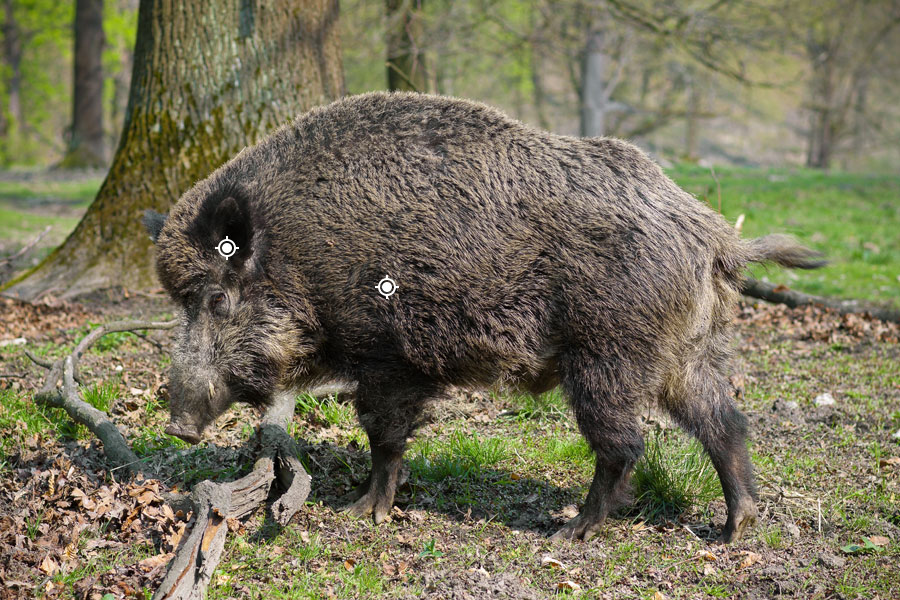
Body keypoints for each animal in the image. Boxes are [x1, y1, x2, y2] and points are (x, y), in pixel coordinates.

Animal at [144, 91, 823, 543]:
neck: (299, 257)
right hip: (683, 351)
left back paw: (569, 532)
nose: (178, 425)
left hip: (607, 354)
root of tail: (713, 236)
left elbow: (383, 434)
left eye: (216, 298)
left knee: (625, 444)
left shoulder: (388, 355)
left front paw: (361, 512)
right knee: (724, 421)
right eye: (178, 301)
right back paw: (735, 529)